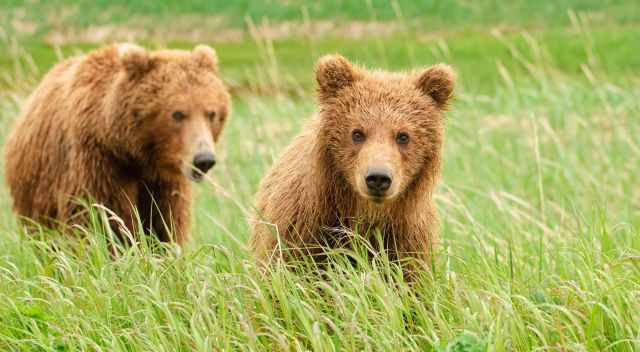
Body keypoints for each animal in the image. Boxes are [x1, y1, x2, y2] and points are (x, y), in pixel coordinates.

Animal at [4, 43, 230, 245]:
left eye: (211, 113)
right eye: (178, 114)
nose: (204, 159)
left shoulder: (164, 183)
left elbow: (165, 224)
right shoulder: (97, 164)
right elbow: (104, 220)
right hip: (36, 188)